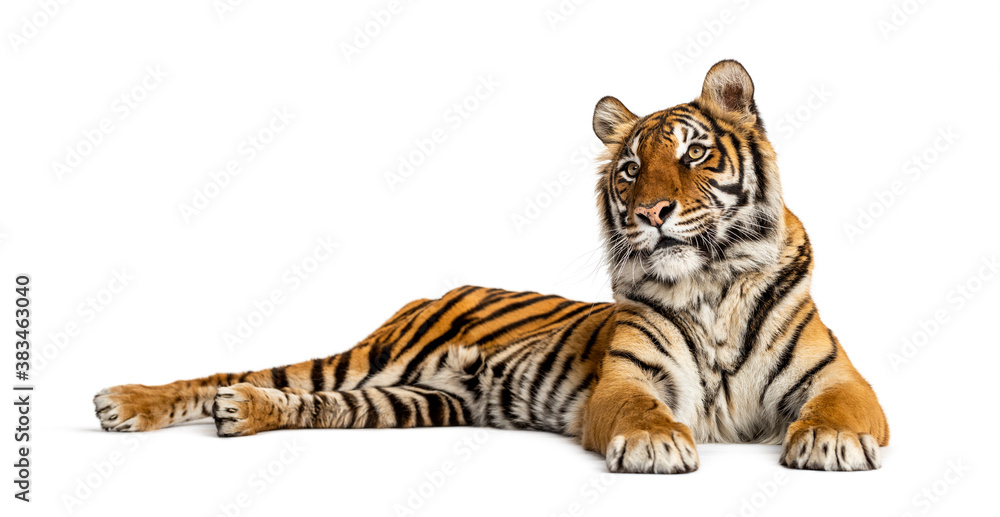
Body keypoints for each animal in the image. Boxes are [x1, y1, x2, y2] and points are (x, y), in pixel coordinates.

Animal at [94, 59, 888, 473]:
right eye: (631, 170)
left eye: (694, 153)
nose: (652, 213)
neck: (711, 285)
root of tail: (429, 292)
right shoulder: (628, 380)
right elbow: (640, 410)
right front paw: (657, 443)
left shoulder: (839, 379)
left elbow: (840, 409)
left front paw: (830, 441)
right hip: (368, 359)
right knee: (233, 375)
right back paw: (126, 402)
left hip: (417, 400)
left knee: (310, 404)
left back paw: (242, 413)